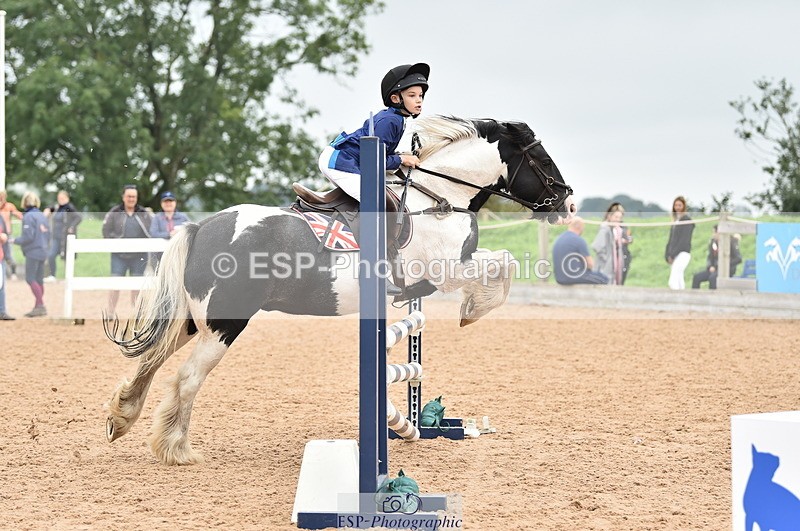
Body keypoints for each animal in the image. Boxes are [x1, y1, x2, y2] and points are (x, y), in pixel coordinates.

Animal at [104, 115, 575, 465]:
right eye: (542, 159)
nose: (568, 203)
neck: (438, 198)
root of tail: (202, 228)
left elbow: (499, 260)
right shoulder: (445, 271)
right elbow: (503, 264)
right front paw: (474, 310)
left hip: (191, 321)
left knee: (151, 361)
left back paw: (122, 419)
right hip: (224, 325)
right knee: (186, 379)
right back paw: (176, 449)